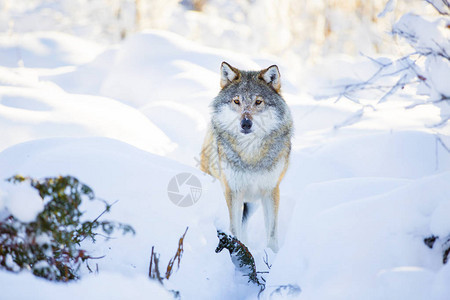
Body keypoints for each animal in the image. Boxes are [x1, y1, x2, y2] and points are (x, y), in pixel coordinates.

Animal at [200, 62, 292, 252]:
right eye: (237, 101)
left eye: (258, 102)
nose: (245, 124)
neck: (251, 154)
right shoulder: (233, 191)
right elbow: (234, 228)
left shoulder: (270, 190)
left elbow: (272, 232)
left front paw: (273, 255)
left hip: (253, 202)